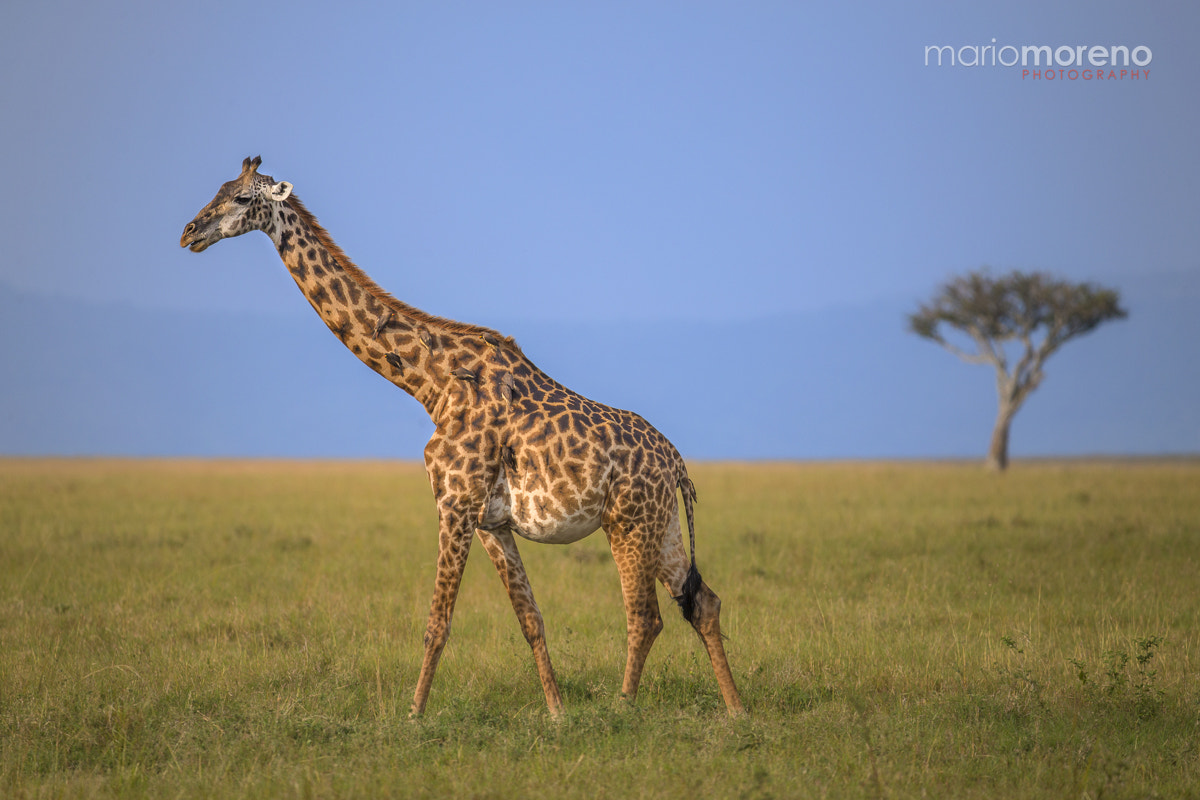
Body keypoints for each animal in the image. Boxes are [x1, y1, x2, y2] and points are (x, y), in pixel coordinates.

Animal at [180, 156, 744, 717]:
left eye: (241, 198)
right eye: (218, 189)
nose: (189, 232)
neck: (431, 383)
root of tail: (678, 464)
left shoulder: (452, 503)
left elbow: (437, 624)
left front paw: (413, 715)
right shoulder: (491, 521)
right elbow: (531, 620)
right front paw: (557, 714)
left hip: (628, 522)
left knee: (646, 616)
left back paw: (623, 707)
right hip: (662, 526)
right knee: (703, 602)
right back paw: (736, 710)